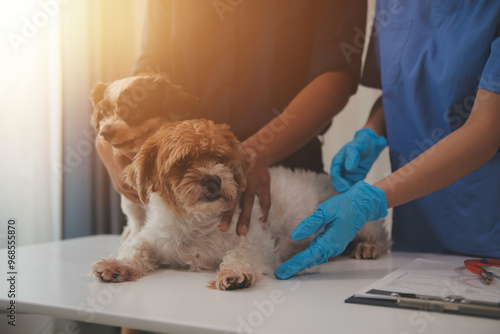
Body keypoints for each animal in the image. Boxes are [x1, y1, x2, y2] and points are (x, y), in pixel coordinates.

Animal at [92, 119, 392, 290]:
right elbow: (136, 248)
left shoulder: (256, 240)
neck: (198, 224)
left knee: (380, 237)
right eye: (182, 163)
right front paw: (116, 265)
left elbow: (239, 254)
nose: (213, 179)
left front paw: (235, 273)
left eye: (221, 159)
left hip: (362, 221)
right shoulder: (154, 237)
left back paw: (366, 247)